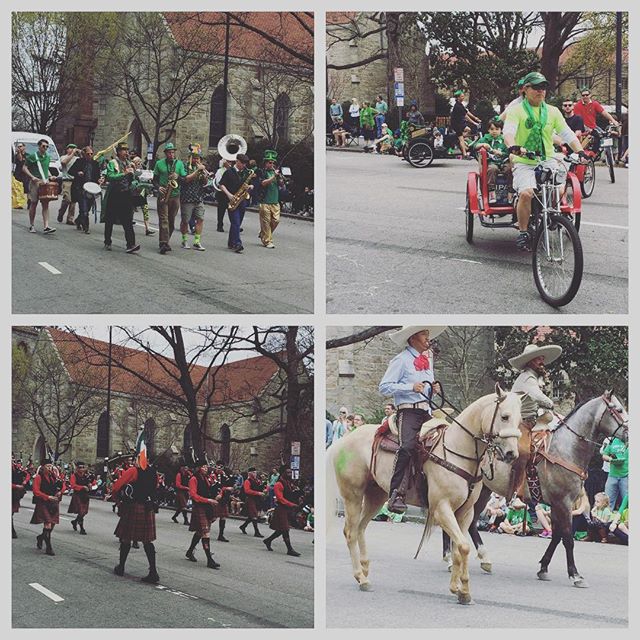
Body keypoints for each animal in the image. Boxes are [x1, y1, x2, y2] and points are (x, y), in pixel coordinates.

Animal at [442, 390, 628, 584]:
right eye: (618, 410)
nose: (630, 433)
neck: (566, 449)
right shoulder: (563, 502)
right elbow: (567, 538)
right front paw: (575, 574)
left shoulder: (558, 504)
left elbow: (557, 536)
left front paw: (544, 567)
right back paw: (451, 559)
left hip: (482, 492)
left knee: (469, 523)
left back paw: (483, 559)